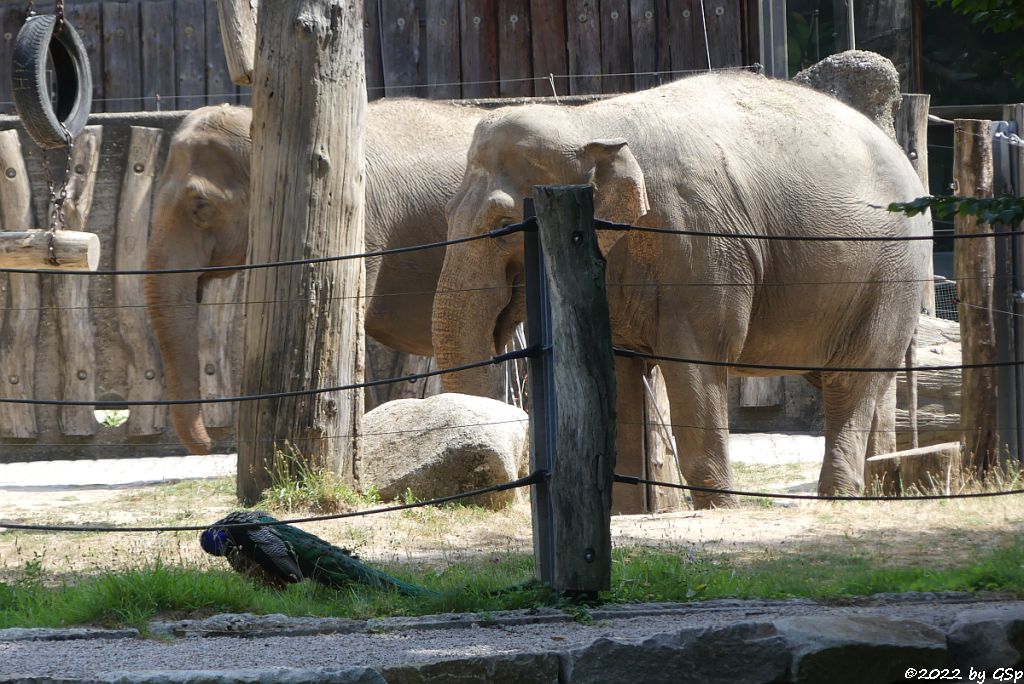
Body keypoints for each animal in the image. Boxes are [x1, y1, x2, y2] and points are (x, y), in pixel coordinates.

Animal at [434, 72, 937, 509]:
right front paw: (627, 516)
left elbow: (698, 360)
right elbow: (618, 373)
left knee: (852, 378)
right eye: (447, 214)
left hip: (894, 271)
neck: (590, 120)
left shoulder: (698, 240)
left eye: (504, 224)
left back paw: (838, 498)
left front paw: (721, 511)